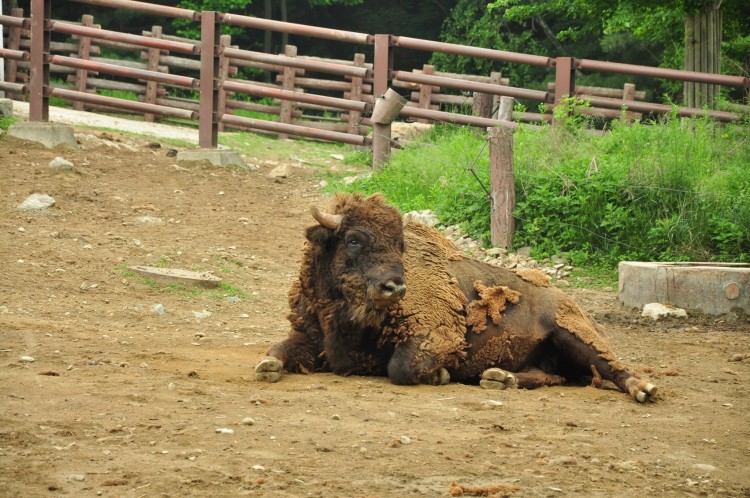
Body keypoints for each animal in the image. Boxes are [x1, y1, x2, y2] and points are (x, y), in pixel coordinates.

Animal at [258, 193, 656, 402]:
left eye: (400, 246)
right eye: (353, 239)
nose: (395, 288)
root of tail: (571, 303)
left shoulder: (436, 336)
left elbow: (401, 368)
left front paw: (441, 375)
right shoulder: (309, 336)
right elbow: (278, 350)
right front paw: (268, 367)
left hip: (574, 335)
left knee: (616, 368)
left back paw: (644, 389)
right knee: (551, 376)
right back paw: (499, 378)